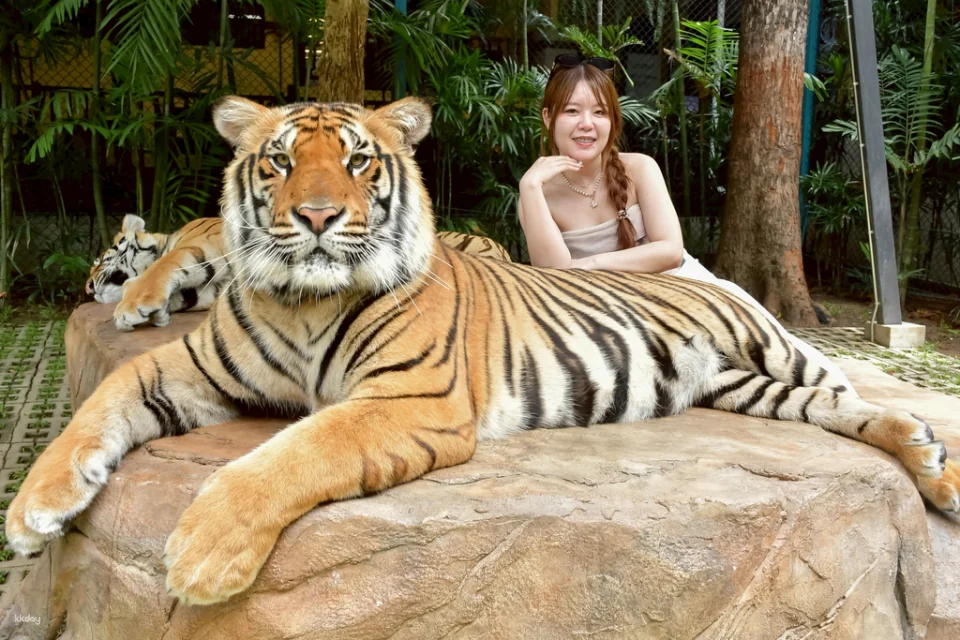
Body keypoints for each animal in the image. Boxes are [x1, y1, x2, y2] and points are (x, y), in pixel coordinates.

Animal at [85, 215, 229, 331]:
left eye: (100, 261)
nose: (87, 289)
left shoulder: (201, 244)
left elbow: (159, 267)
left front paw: (130, 308)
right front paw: (159, 313)